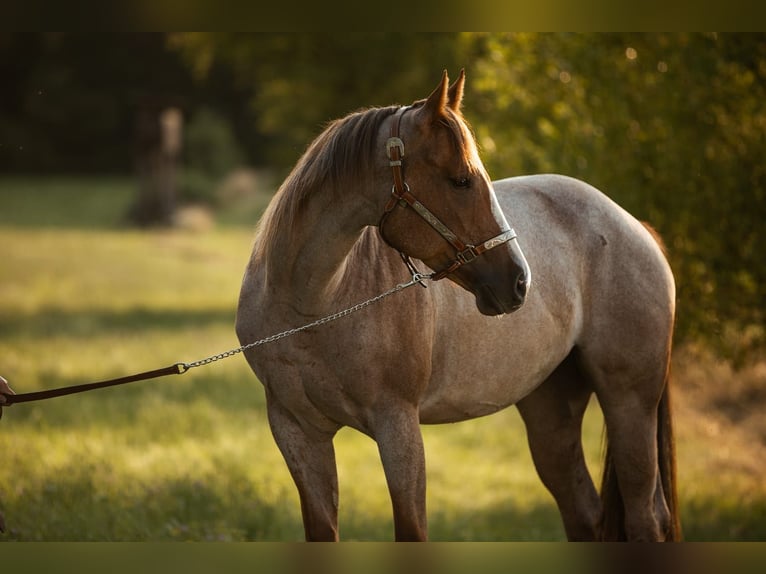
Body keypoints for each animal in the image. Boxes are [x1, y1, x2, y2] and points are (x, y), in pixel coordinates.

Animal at [234, 70, 680, 544]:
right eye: (462, 180)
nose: (519, 281)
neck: (312, 311)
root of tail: (634, 226)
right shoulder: (298, 431)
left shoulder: (397, 425)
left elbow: (411, 530)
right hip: (551, 411)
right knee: (585, 513)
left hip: (630, 403)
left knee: (646, 516)